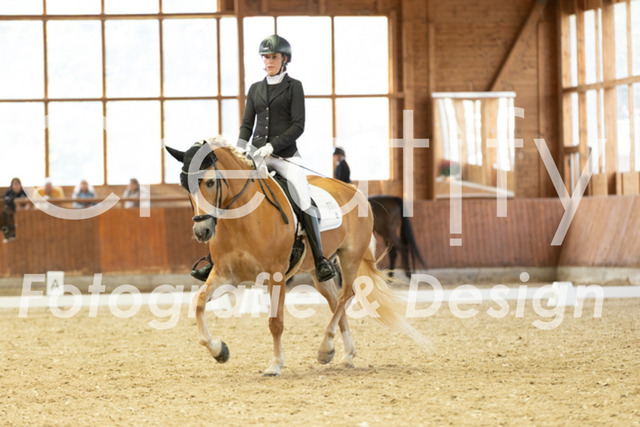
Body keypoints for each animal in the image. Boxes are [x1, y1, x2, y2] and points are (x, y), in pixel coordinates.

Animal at [166, 138, 429, 376]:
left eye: (210, 182)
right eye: (185, 187)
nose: (201, 231)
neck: (243, 219)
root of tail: (354, 190)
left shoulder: (276, 274)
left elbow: (276, 322)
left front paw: (275, 365)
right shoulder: (225, 275)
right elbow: (198, 302)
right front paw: (219, 350)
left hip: (350, 257)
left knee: (346, 295)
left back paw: (325, 348)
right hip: (318, 270)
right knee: (336, 300)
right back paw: (346, 354)